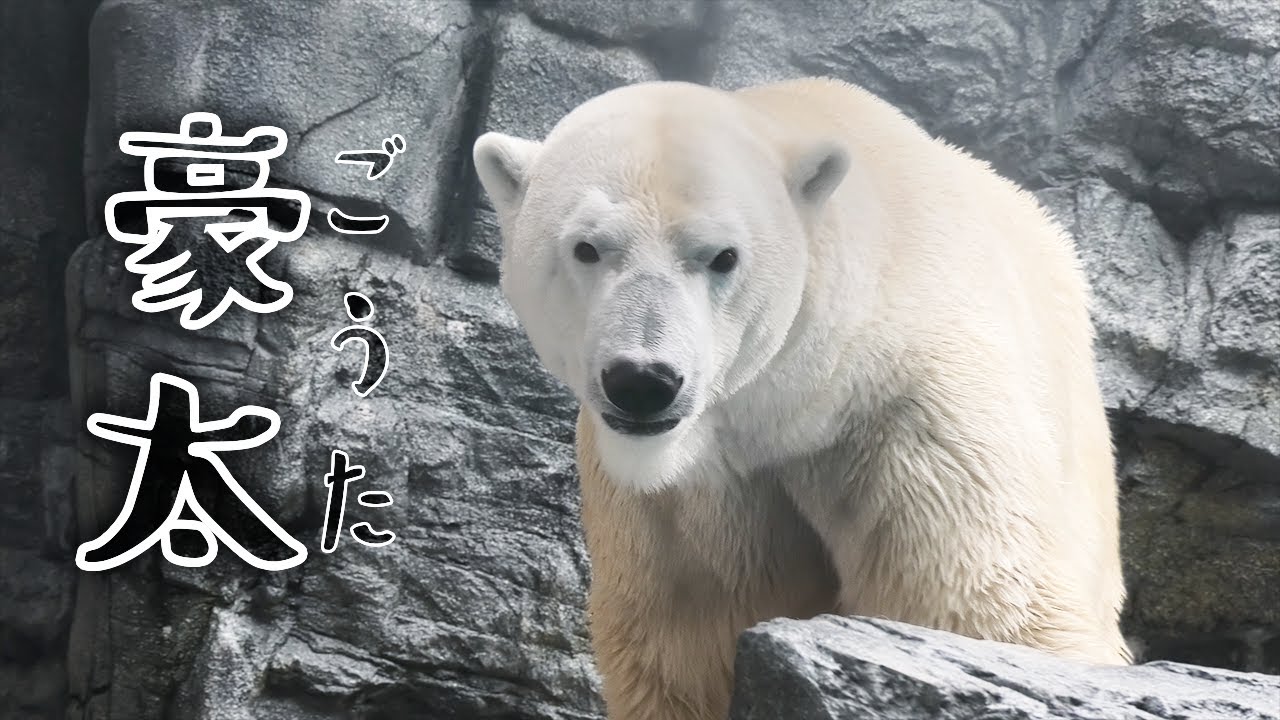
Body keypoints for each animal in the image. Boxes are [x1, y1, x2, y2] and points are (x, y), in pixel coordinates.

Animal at [473, 77, 1131, 720]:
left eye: (723, 256)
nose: (642, 381)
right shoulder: (690, 490)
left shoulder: (914, 415)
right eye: (586, 247)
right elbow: (688, 641)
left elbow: (977, 603)